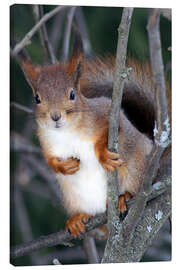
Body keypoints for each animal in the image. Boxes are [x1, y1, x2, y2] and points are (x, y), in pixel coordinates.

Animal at [14, 32, 162, 238]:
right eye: (37, 98)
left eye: (72, 94)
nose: (55, 116)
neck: (66, 131)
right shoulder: (46, 141)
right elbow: (49, 159)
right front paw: (64, 166)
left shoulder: (106, 112)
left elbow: (112, 131)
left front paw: (103, 155)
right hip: (73, 197)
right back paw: (78, 219)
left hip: (137, 169)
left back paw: (124, 197)